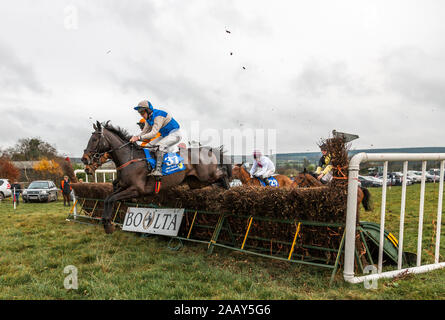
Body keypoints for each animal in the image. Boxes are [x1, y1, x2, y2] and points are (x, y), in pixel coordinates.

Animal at [82, 121, 232, 234]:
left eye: (94, 139)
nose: (84, 160)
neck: (129, 159)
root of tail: (209, 150)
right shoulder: (123, 187)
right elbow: (108, 198)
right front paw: (107, 224)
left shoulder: (136, 189)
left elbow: (112, 198)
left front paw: (108, 223)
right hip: (196, 181)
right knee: (215, 182)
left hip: (206, 175)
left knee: (223, 173)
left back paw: (228, 188)